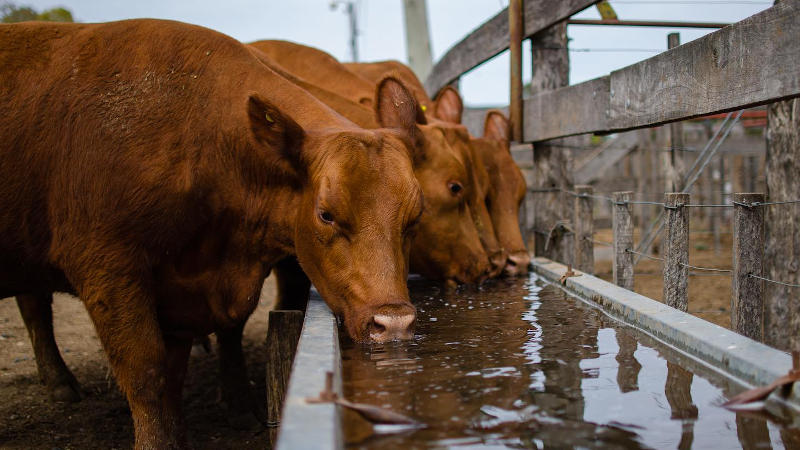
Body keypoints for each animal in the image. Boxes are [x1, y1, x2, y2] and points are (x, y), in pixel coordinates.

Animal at [1, 19, 424, 448]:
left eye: (414, 217)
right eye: (326, 215)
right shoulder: (108, 268)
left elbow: (177, 371)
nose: (393, 324)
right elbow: (146, 371)